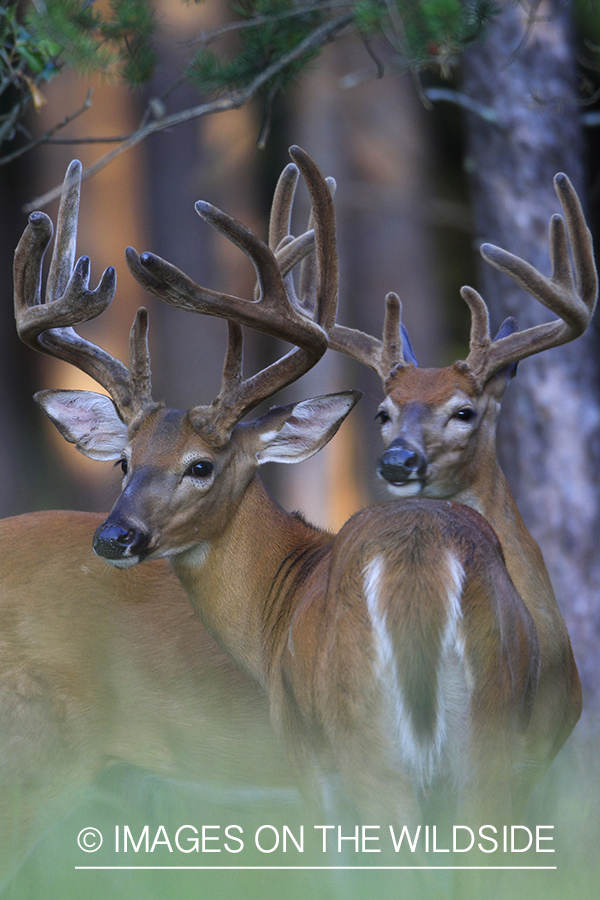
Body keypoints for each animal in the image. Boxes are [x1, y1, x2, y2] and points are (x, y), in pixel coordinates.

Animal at [18, 149, 540, 828]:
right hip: (491, 740)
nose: (114, 536)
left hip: (364, 739)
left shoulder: (307, 758)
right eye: (124, 463)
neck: (280, 598)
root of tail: (425, 565)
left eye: (201, 466)